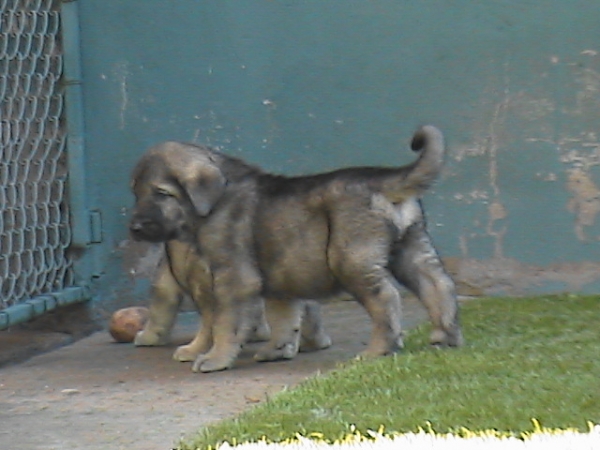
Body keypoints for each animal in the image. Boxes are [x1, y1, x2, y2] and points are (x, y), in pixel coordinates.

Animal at [129, 125, 462, 370]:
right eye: (136, 193)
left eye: (161, 193)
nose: (135, 228)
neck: (215, 201)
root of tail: (384, 182)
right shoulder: (277, 281)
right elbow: (284, 318)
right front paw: (277, 349)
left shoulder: (233, 277)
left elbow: (225, 323)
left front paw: (215, 358)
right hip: (411, 248)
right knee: (438, 285)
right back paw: (445, 337)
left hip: (351, 259)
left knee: (386, 299)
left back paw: (377, 351)